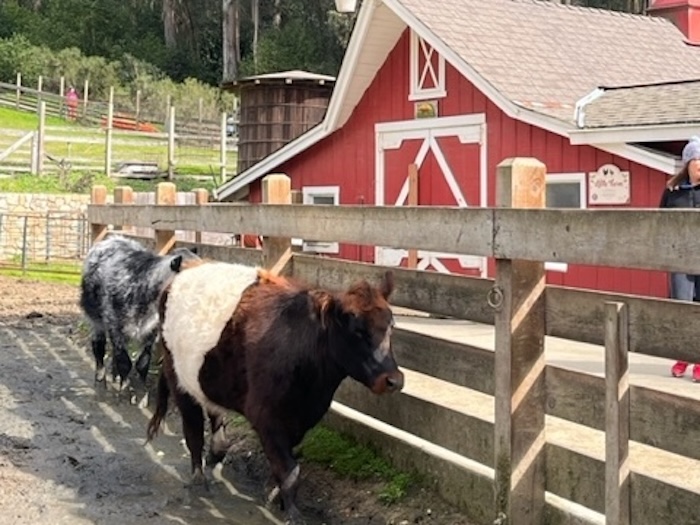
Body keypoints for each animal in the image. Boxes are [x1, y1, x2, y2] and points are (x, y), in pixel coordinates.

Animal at [79, 235, 200, 395]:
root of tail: (113, 238)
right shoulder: (114, 325)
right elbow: (124, 361)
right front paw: (124, 389)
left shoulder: (152, 331)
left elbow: (143, 362)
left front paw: (141, 392)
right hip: (94, 317)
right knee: (99, 346)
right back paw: (101, 379)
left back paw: (115, 376)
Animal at [146, 261, 404, 524]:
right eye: (357, 330)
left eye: (391, 326)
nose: (393, 380)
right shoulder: (265, 416)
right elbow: (290, 471)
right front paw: (291, 512)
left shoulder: (300, 418)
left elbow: (287, 465)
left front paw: (276, 497)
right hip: (179, 378)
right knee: (193, 430)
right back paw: (199, 480)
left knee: (214, 415)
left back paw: (216, 454)